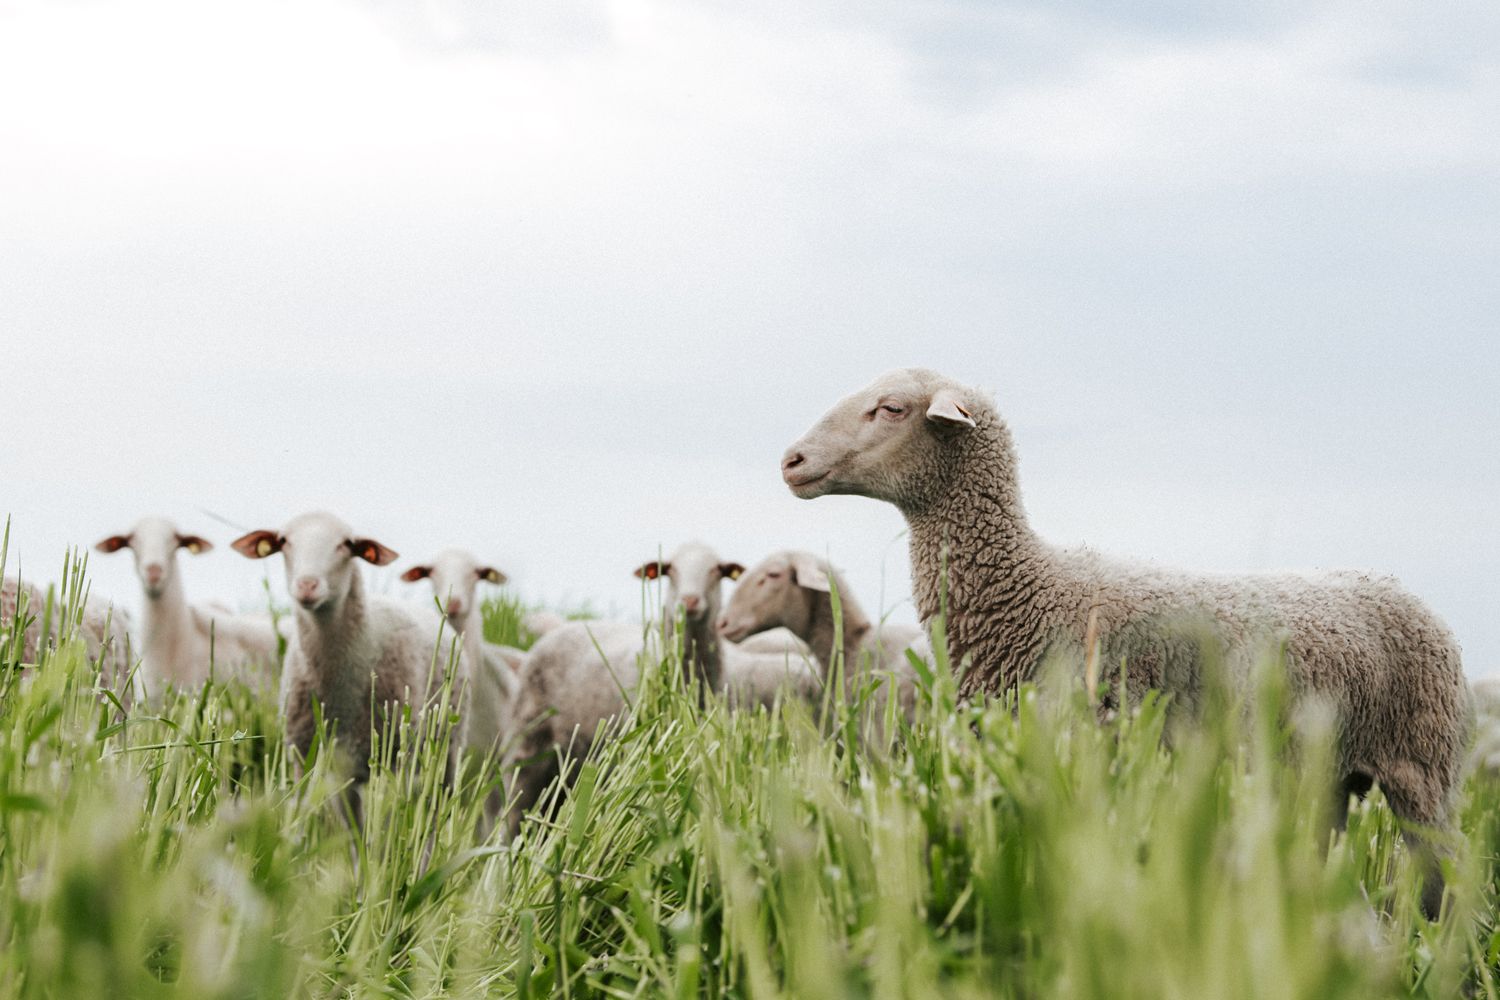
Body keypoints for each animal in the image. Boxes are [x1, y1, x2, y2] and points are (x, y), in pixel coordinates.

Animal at [225, 509, 462, 815]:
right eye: (284, 541)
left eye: (347, 544)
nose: (307, 585)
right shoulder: (306, 757)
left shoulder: (393, 757)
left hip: (445, 747)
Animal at [786, 365, 1476, 917]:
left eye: (891, 408)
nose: (791, 460)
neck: (1030, 588)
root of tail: (1405, 591)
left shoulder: (1100, 745)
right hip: (1327, 775)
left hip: (1423, 767)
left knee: (1447, 875)